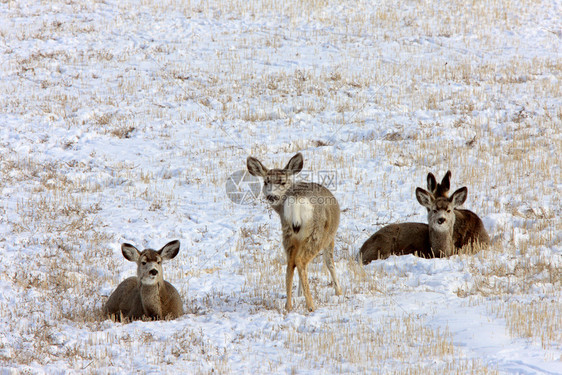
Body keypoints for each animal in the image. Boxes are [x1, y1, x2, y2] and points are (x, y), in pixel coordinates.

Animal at [246, 151, 342, 312]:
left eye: (282, 182)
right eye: (266, 182)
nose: (271, 196)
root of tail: (297, 200)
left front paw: (299, 293)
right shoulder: (330, 237)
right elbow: (330, 262)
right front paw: (339, 291)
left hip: (288, 232)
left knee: (291, 262)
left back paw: (289, 305)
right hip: (317, 233)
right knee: (301, 261)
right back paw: (311, 305)